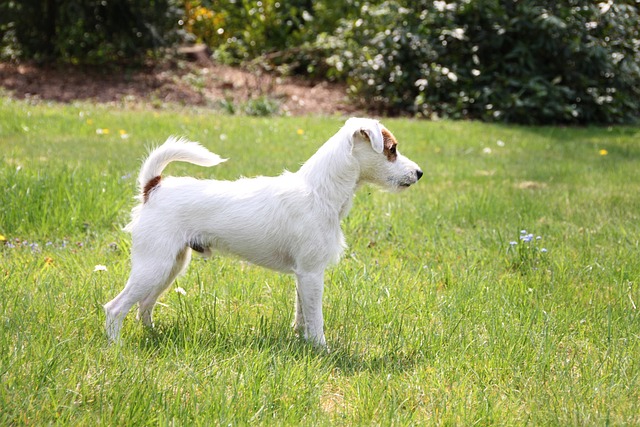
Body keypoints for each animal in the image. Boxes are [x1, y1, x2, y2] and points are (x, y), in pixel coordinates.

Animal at [104, 118, 422, 348]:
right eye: (392, 150)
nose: (419, 173)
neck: (319, 191)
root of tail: (154, 187)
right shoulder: (312, 273)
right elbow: (316, 318)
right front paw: (321, 349)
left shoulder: (303, 276)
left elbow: (302, 314)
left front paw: (301, 341)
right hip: (154, 266)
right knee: (115, 308)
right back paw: (116, 347)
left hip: (170, 266)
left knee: (143, 306)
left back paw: (153, 336)